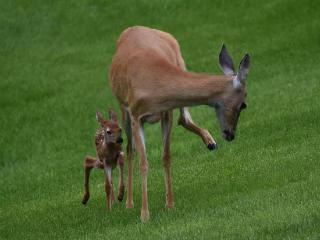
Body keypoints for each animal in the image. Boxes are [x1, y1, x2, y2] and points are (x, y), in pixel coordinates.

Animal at [110, 26, 250, 221]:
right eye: (243, 105)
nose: (230, 134)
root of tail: (134, 27)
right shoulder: (136, 115)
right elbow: (143, 162)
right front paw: (144, 214)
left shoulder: (167, 112)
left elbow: (166, 156)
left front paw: (169, 204)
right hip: (123, 108)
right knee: (130, 149)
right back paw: (128, 201)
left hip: (180, 62)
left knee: (183, 118)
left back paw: (210, 141)